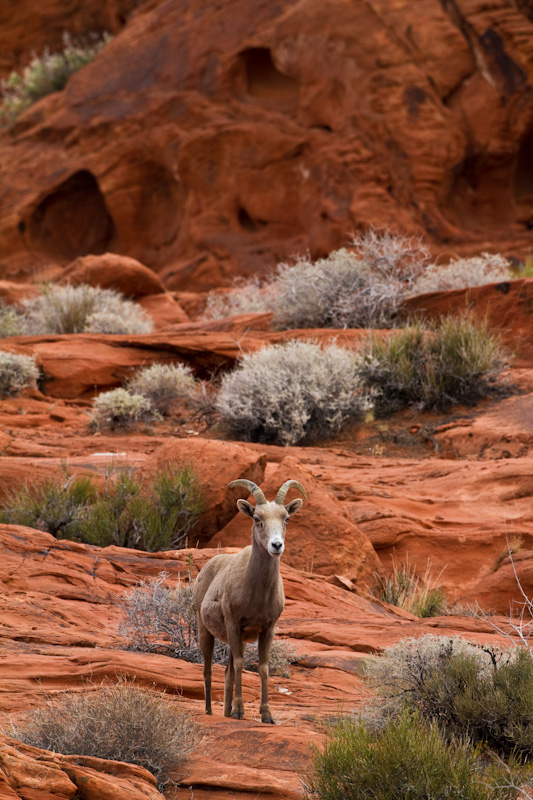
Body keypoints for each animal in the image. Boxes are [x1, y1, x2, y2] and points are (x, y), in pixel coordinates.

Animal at [193, 482, 306, 724]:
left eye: (286, 518)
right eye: (257, 518)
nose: (276, 545)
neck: (257, 593)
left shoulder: (267, 629)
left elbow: (262, 668)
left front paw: (267, 715)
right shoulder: (234, 624)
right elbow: (240, 664)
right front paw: (238, 712)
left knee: (227, 674)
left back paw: (225, 712)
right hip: (205, 630)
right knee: (208, 671)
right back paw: (210, 711)